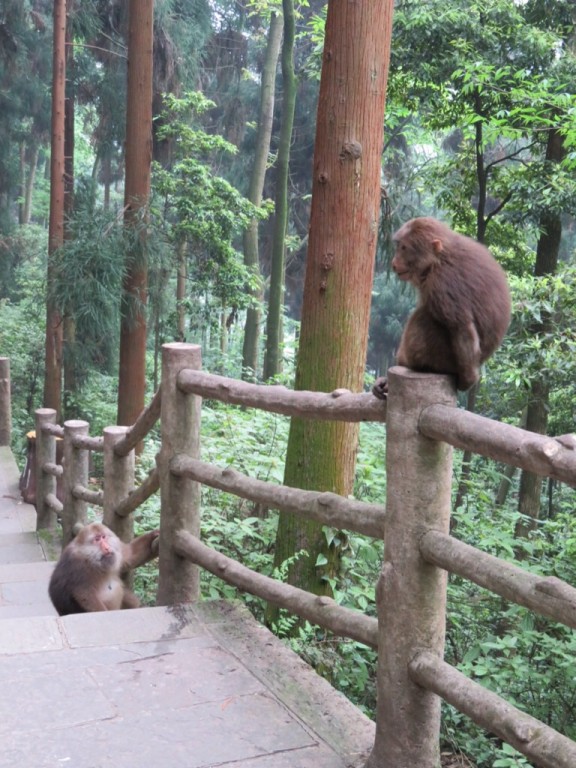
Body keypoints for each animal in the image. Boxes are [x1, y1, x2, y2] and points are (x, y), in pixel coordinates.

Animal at [376, 214, 510, 400]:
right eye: (399, 247)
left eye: (404, 248)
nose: (394, 263)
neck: (440, 259)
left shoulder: (441, 283)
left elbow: (462, 327)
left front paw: (468, 380)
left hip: (442, 358)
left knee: (423, 317)